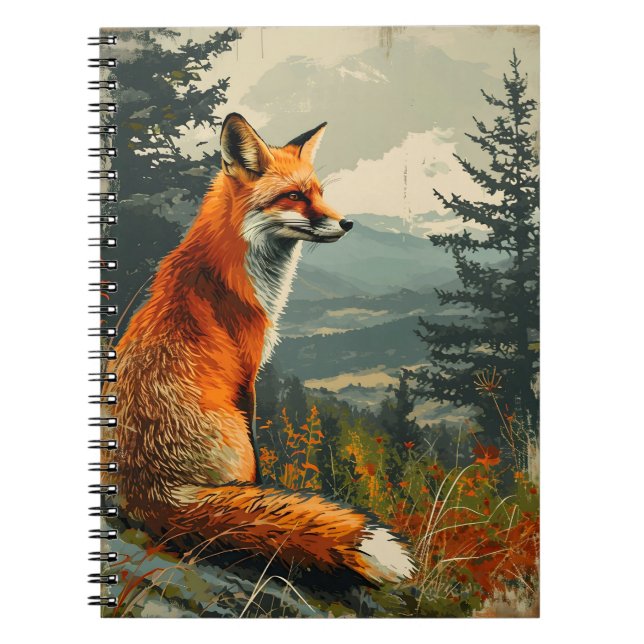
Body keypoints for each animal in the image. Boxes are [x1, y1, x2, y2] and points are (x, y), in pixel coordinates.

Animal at [103, 113, 415, 585]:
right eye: (294, 196)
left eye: (320, 193)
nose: (347, 224)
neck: (230, 271)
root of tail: (151, 495)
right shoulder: (248, 373)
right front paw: (262, 493)